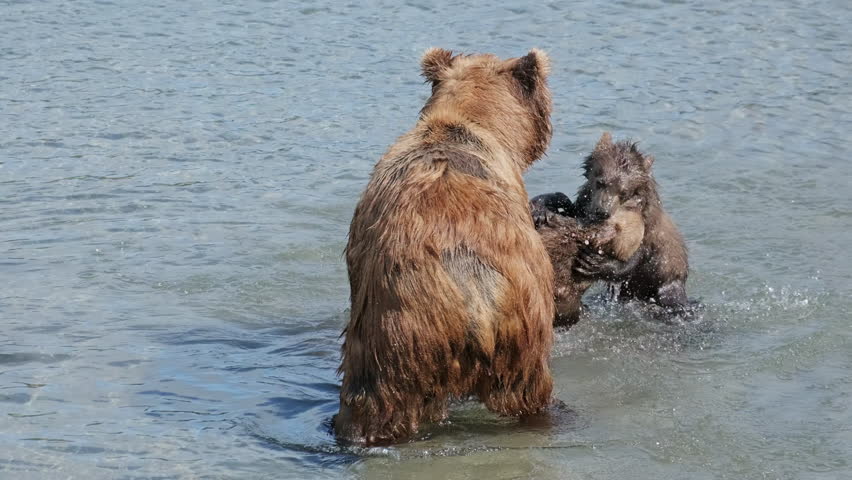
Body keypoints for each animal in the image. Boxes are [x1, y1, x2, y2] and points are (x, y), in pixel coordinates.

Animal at [572, 132, 690, 312]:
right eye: (600, 182)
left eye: (624, 192)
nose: (602, 211)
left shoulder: (646, 231)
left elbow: (631, 261)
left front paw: (592, 263)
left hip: (667, 280)